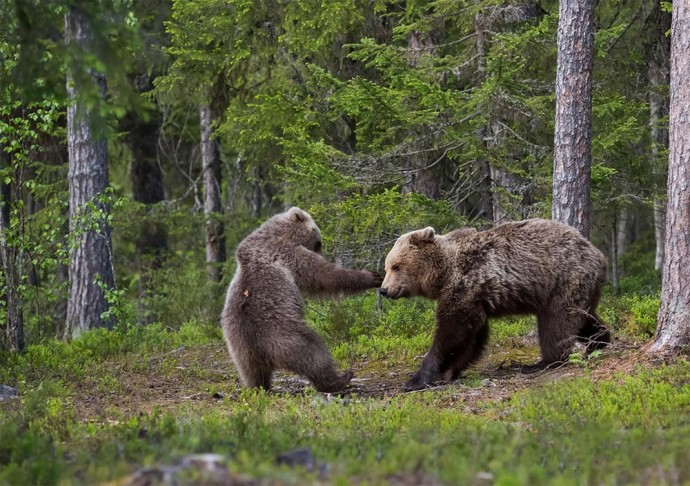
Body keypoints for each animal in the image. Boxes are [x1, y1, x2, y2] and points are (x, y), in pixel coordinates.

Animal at [220, 207, 382, 392]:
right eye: (319, 242)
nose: (322, 254)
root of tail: (261, 352)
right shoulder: (289, 253)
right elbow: (323, 275)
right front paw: (371, 276)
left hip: (238, 351)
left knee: (252, 374)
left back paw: (260, 388)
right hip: (286, 336)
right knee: (314, 354)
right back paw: (341, 379)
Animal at [378, 219, 612, 392]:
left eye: (396, 266)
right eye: (387, 267)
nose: (384, 289)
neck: (443, 274)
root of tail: (599, 255)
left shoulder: (465, 285)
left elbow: (452, 333)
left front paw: (416, 380)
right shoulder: (474, 298)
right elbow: (472, 337)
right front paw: (449, 371)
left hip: (563, 280)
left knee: (556, 322)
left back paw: (544, 362)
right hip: (580, 287)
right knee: (583, 315)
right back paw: (599, 340)